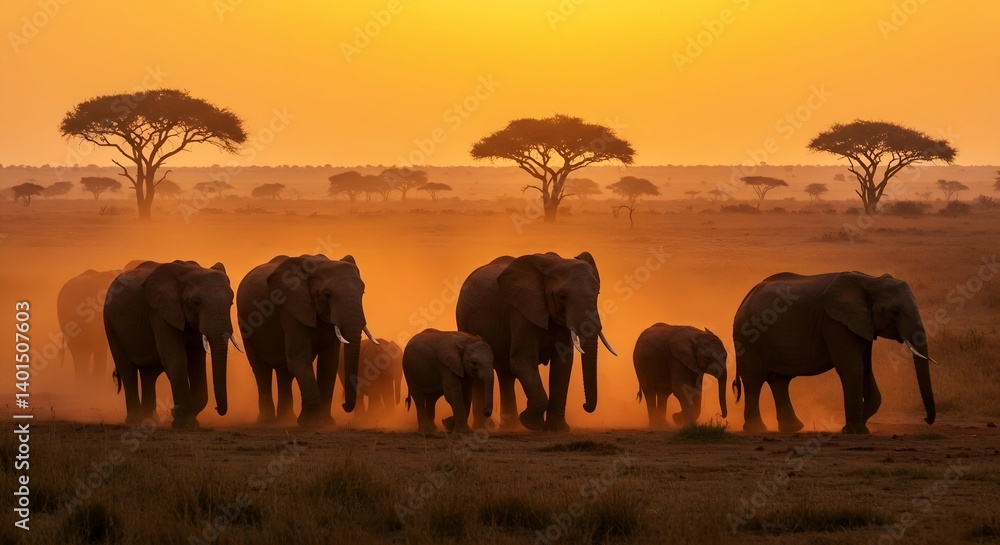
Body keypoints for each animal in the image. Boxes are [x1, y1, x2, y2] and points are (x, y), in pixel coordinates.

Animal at [103, 261, 236, 428]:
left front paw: (178, 416)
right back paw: (135, 421)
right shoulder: (160, 313)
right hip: (109, 323)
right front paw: (185, 424)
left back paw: (149, 421)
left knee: (148, 374)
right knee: (127, 370)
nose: (217, 408)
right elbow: (176, 359)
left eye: (231, 302)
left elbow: (197, 363)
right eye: (196, 303)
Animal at [236, 254, 377, 428]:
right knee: (262, 370)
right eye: (327, 295)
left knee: (284, 373)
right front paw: (312, 423)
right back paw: (267, 422)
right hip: (245, 324)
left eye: (362, 292)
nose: (344, 405)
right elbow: (299, 358)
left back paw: (286, 420)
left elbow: (328, 363)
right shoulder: (292, 309)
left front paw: (326, 423)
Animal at [456, 251, 616, 432]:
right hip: (464, 321)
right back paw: (484, 427)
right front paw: (530, 423)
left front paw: (557, 429)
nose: (584, 406)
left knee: (506, 373)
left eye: (598, 293)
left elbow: (562, 366)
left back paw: (511, 427)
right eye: (562, 297)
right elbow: (523, 362)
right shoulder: (521, 312)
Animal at [732, 271, 936, 434]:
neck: (871, 280)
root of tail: (745, 298)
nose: (926, 420)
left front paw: (856, 427)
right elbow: (852, 368)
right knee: (754, 381)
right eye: (895, 312)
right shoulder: (835, 324)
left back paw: (793, 428)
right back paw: (756, 429)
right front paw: (856, 431)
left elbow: (865, 369)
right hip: (750, 335)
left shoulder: (862, 325)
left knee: (779, 381)